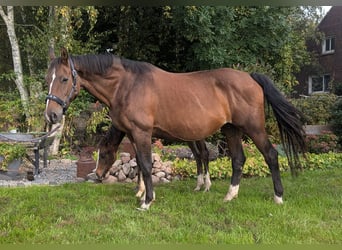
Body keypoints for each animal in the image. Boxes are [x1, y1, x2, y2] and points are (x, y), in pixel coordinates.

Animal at [44, 47, 304, 210]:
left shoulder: (142, 132)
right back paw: (230, 196)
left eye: (65, 79)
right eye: (48, 78)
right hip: (231, 129)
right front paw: (141, 193)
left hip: (253, 127)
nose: (51, 115)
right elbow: (140, 163)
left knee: (270, 155)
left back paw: (278, 197)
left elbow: (146, 165)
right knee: (238, 159)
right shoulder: (136, 135)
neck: (127, 85)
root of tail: (250, 76)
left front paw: (146, 201)